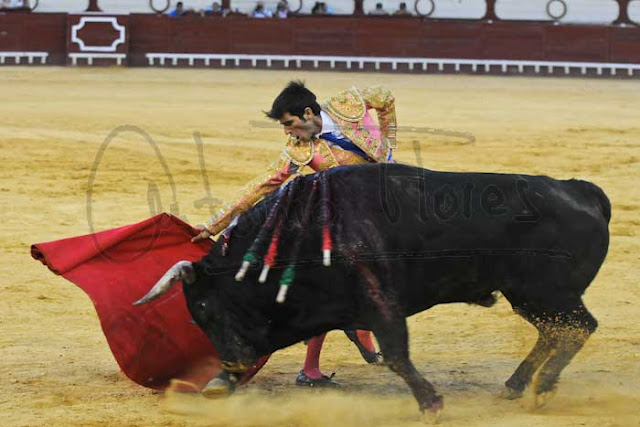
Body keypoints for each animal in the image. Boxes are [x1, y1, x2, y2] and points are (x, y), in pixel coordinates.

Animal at [134, 163, 610, 421]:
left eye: (204, 306)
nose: (231, 361)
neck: (299, 233)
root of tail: (581, 190)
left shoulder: (381, 301)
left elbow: (396, 355)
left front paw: (431, 405)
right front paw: (219, 382)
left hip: (549, 293)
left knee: (578, 327)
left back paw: (542, 387)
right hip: (528, 296)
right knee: (554, 332)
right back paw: (515, 385)